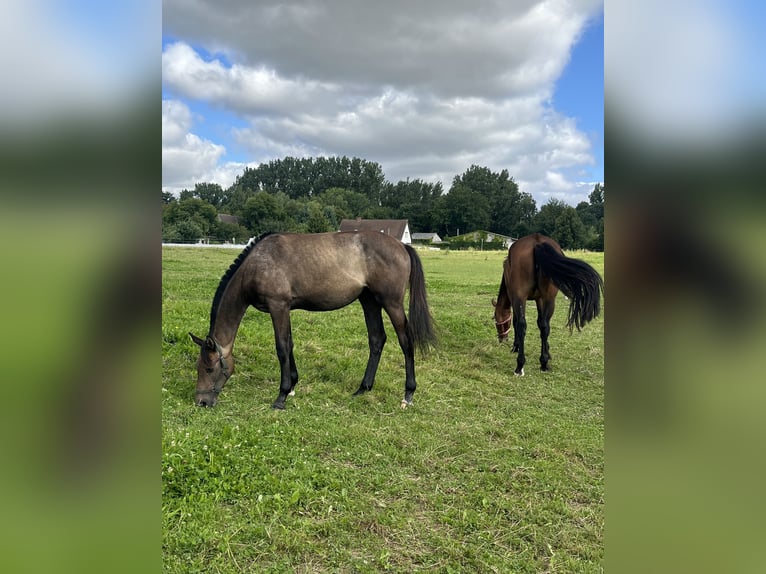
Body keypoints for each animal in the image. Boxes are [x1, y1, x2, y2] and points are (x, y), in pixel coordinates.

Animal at [189, 232, 436, 412]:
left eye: (209, 368)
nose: (202, 402)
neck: (257, 265)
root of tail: (402, 246)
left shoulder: (278, 306)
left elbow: (281, 348)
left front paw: (281, 396)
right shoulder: (284, 308)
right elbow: (289, 345)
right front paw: (292, 386)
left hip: (391, 303)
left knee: (406, 341)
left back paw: (408, 394)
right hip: (369, 301)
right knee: (377, 339)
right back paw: (363, 389)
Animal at [492, 234, 608, 378]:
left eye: (497, 320)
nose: (502, 339)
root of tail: (537, 241)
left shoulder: (515, 298)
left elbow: (516, 322)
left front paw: (516, 346)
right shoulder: (540, 299)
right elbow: (541, 324)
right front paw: (547, 351)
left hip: (521, 296)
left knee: (522, 325)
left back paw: (520, 366)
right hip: (548, 298)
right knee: (545, 326)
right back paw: (544, 363)